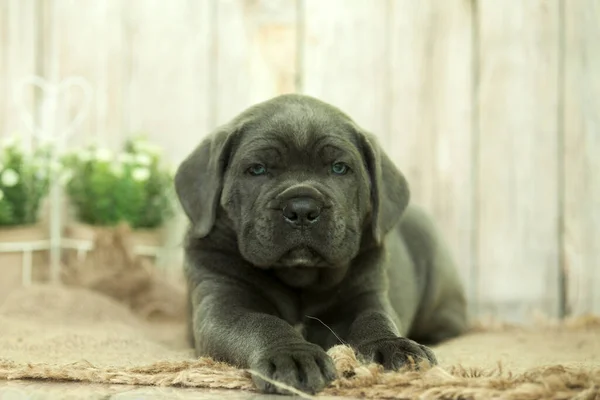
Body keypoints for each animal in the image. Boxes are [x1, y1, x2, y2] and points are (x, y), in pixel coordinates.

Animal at [173, 93, 468, 394]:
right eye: (256, 169)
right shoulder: (221, 303)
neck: (300, 275)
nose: (302, 208)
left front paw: (392, 346)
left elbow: (374, 318)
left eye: (339, 168)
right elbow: (259, 322)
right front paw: (292, 354)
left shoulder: (367, 294)